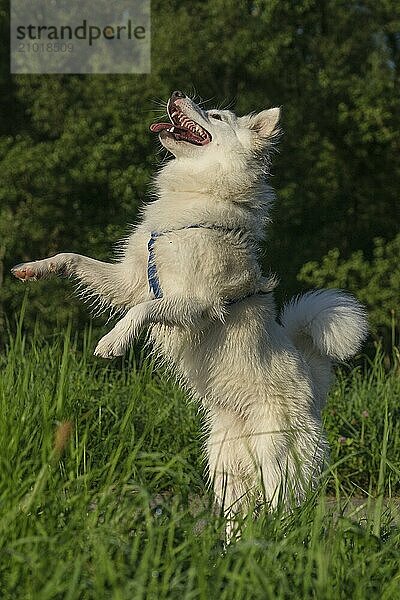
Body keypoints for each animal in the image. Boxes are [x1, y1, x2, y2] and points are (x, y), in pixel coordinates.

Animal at [12, 92, 368, 536]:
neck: (199, 196)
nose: (176, 95)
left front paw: (113, 341)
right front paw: (35, 268)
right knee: (239, 519)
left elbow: (145, 309)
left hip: (277, 464)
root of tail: (315, 385)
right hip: (225, 470)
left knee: (284, 513)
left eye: (216, 115)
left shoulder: (197, 303)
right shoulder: (129, 280)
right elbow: (76, 259)